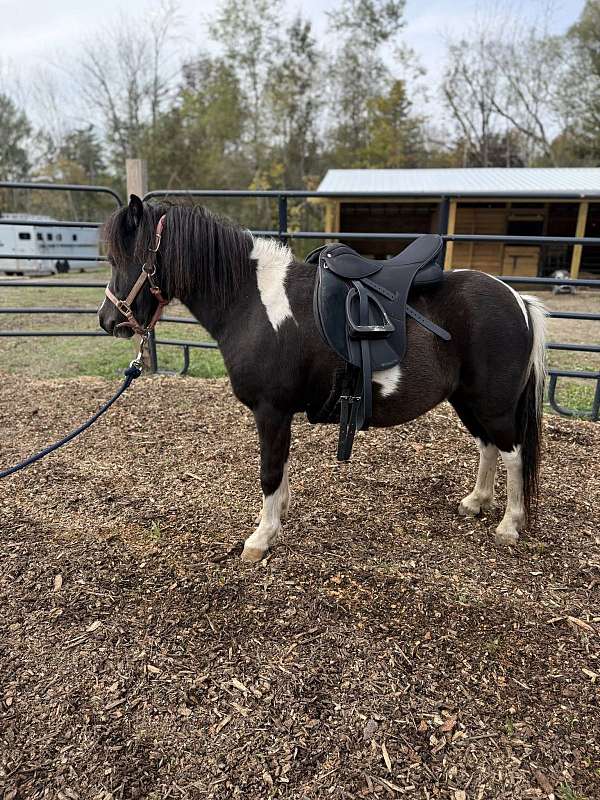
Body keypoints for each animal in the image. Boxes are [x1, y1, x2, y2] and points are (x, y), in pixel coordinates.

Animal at [98, 195, 547, 562]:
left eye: (122, 259)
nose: (108, 321)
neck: (251, 302)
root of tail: (518, 299)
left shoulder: (271, 410)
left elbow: (269, 470)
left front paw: (261, 538)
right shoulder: (279, 414)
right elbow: (280, 467)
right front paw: (279, 513)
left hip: (493, 403)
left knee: (512, 453)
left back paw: (509, 525)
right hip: (468, 399)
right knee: (488, 446)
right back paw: (476, 501)